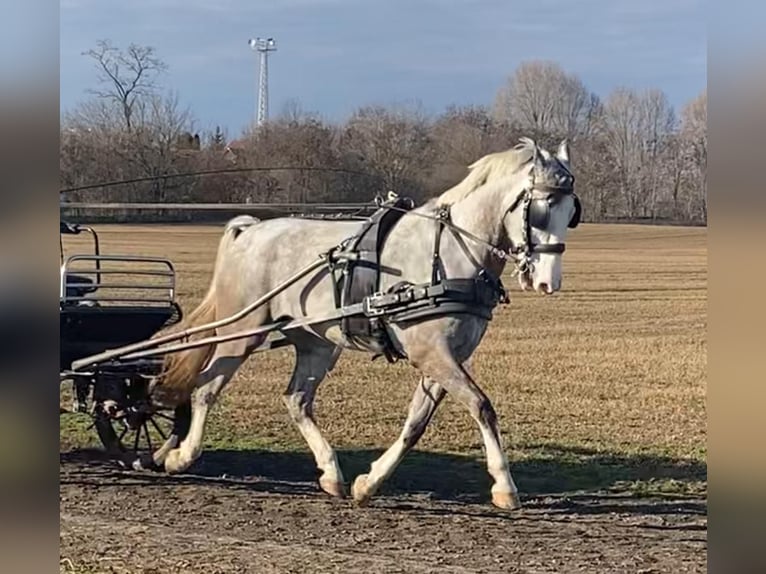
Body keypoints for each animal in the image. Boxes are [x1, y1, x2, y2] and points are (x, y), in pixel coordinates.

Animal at [153, 137, 580, 510]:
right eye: (542, 208)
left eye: (571, 213)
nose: (548, 282)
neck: (450, 253)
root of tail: (251, 229)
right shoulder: (432, 353)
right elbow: (482, 406)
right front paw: (505, 485)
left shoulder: (445, 358)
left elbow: (415, 424)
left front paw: (368, 483)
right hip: (241, 332)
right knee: (206, 388)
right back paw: (181, 456)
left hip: (317, 343)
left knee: (297, 400)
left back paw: (331, 473)